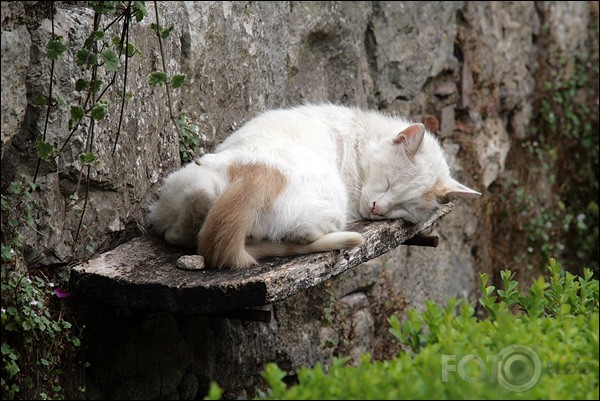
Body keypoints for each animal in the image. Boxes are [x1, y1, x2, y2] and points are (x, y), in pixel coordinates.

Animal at [148, 104, 480, 270]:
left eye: (402, 208)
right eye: (388, 184)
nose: (377, 209)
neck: (360, 135)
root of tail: (261, 173)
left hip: (191, 182)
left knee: (180, 227)